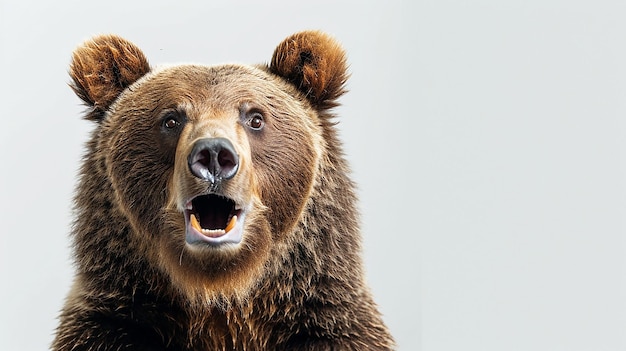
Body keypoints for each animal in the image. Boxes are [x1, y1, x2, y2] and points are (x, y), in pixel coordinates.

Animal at [54, 31, 394, 351]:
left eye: (255, 118)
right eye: (171, 119)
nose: (214, 154)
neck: (221, 297)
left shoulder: (330, 323)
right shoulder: (110, 324)